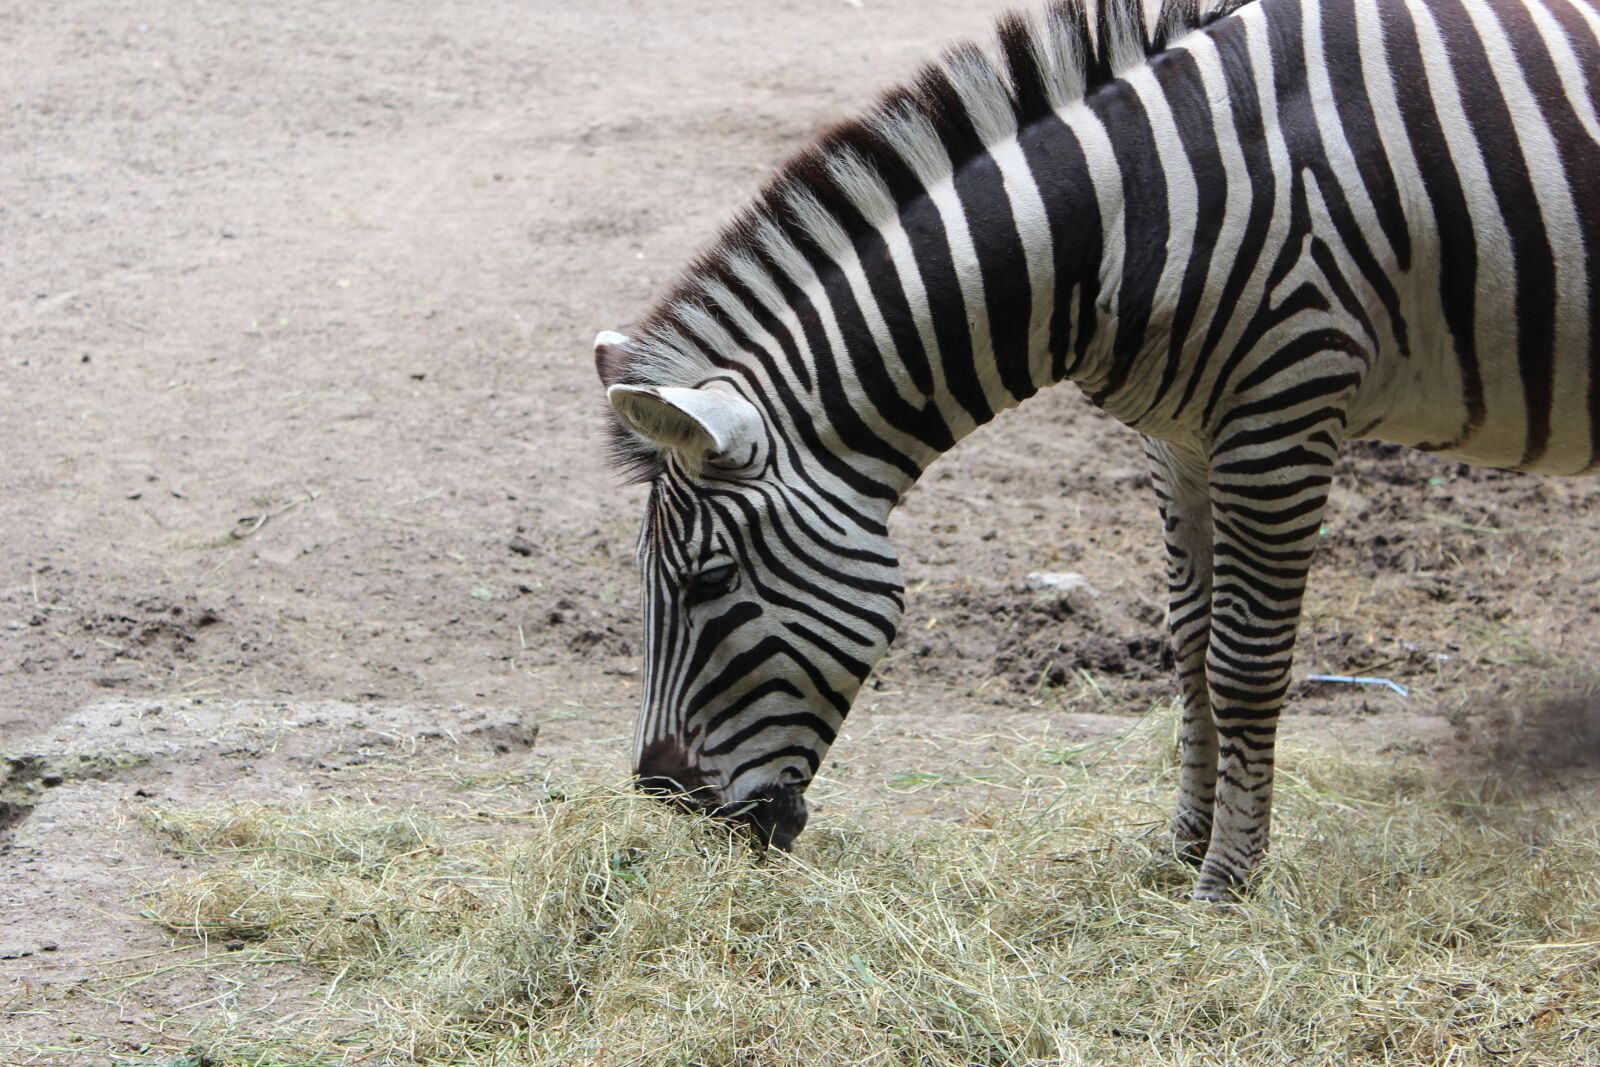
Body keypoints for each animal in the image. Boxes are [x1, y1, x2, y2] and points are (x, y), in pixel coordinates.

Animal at [591, 0, 1600, 900]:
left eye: (709, 581)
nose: (665, 797)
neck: (1130, 213)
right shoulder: (1180, 436)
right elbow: (1190, 642)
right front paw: (1182, 846)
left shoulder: (1285, 404)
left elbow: (1244, 660)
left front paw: (1227, 885)